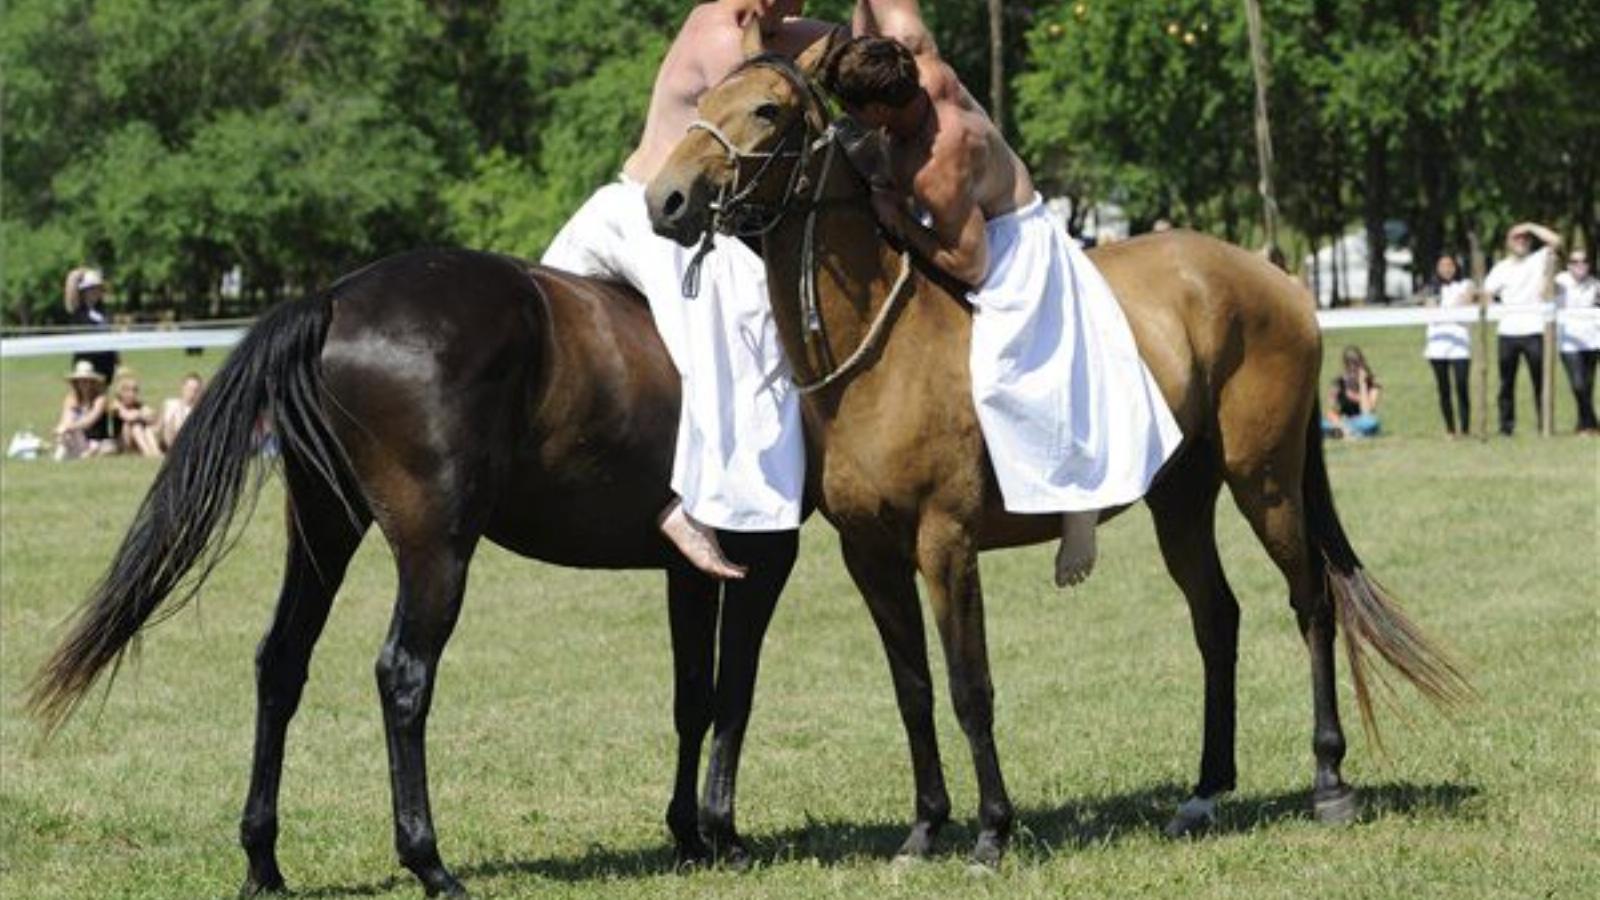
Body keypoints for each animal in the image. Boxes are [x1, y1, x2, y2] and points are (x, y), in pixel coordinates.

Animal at [643, 49, 1465, 864]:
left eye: (768, 110)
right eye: (705, 100)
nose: (666, 200)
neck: (880, 354)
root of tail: (1278, 276)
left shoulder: (946, 544)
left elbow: (970, 687)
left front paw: (991, 831)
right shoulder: (869, 556)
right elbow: (913, 690)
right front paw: (924, 827)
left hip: (1265, 483)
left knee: (1312, 602)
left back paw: (1329, 779)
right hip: (1182, 500)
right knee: (1216, 619)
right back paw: (1203, 793)